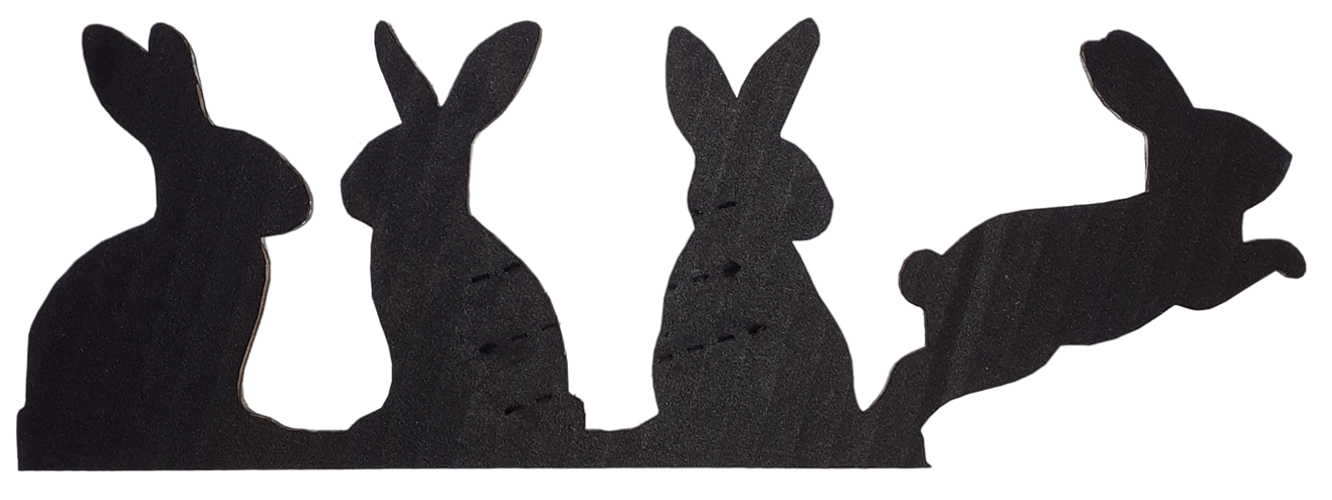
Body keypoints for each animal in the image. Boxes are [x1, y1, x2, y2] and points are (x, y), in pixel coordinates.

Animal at [885, 28, 1305, 464]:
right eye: (1240, 140)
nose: (1284, 161)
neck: (1183, 198)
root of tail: (933, 274)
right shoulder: (1209, 278)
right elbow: (1258, 254)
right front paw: (1292, 261)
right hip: (1005, 347)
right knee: (918, 376)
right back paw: (903, 449)